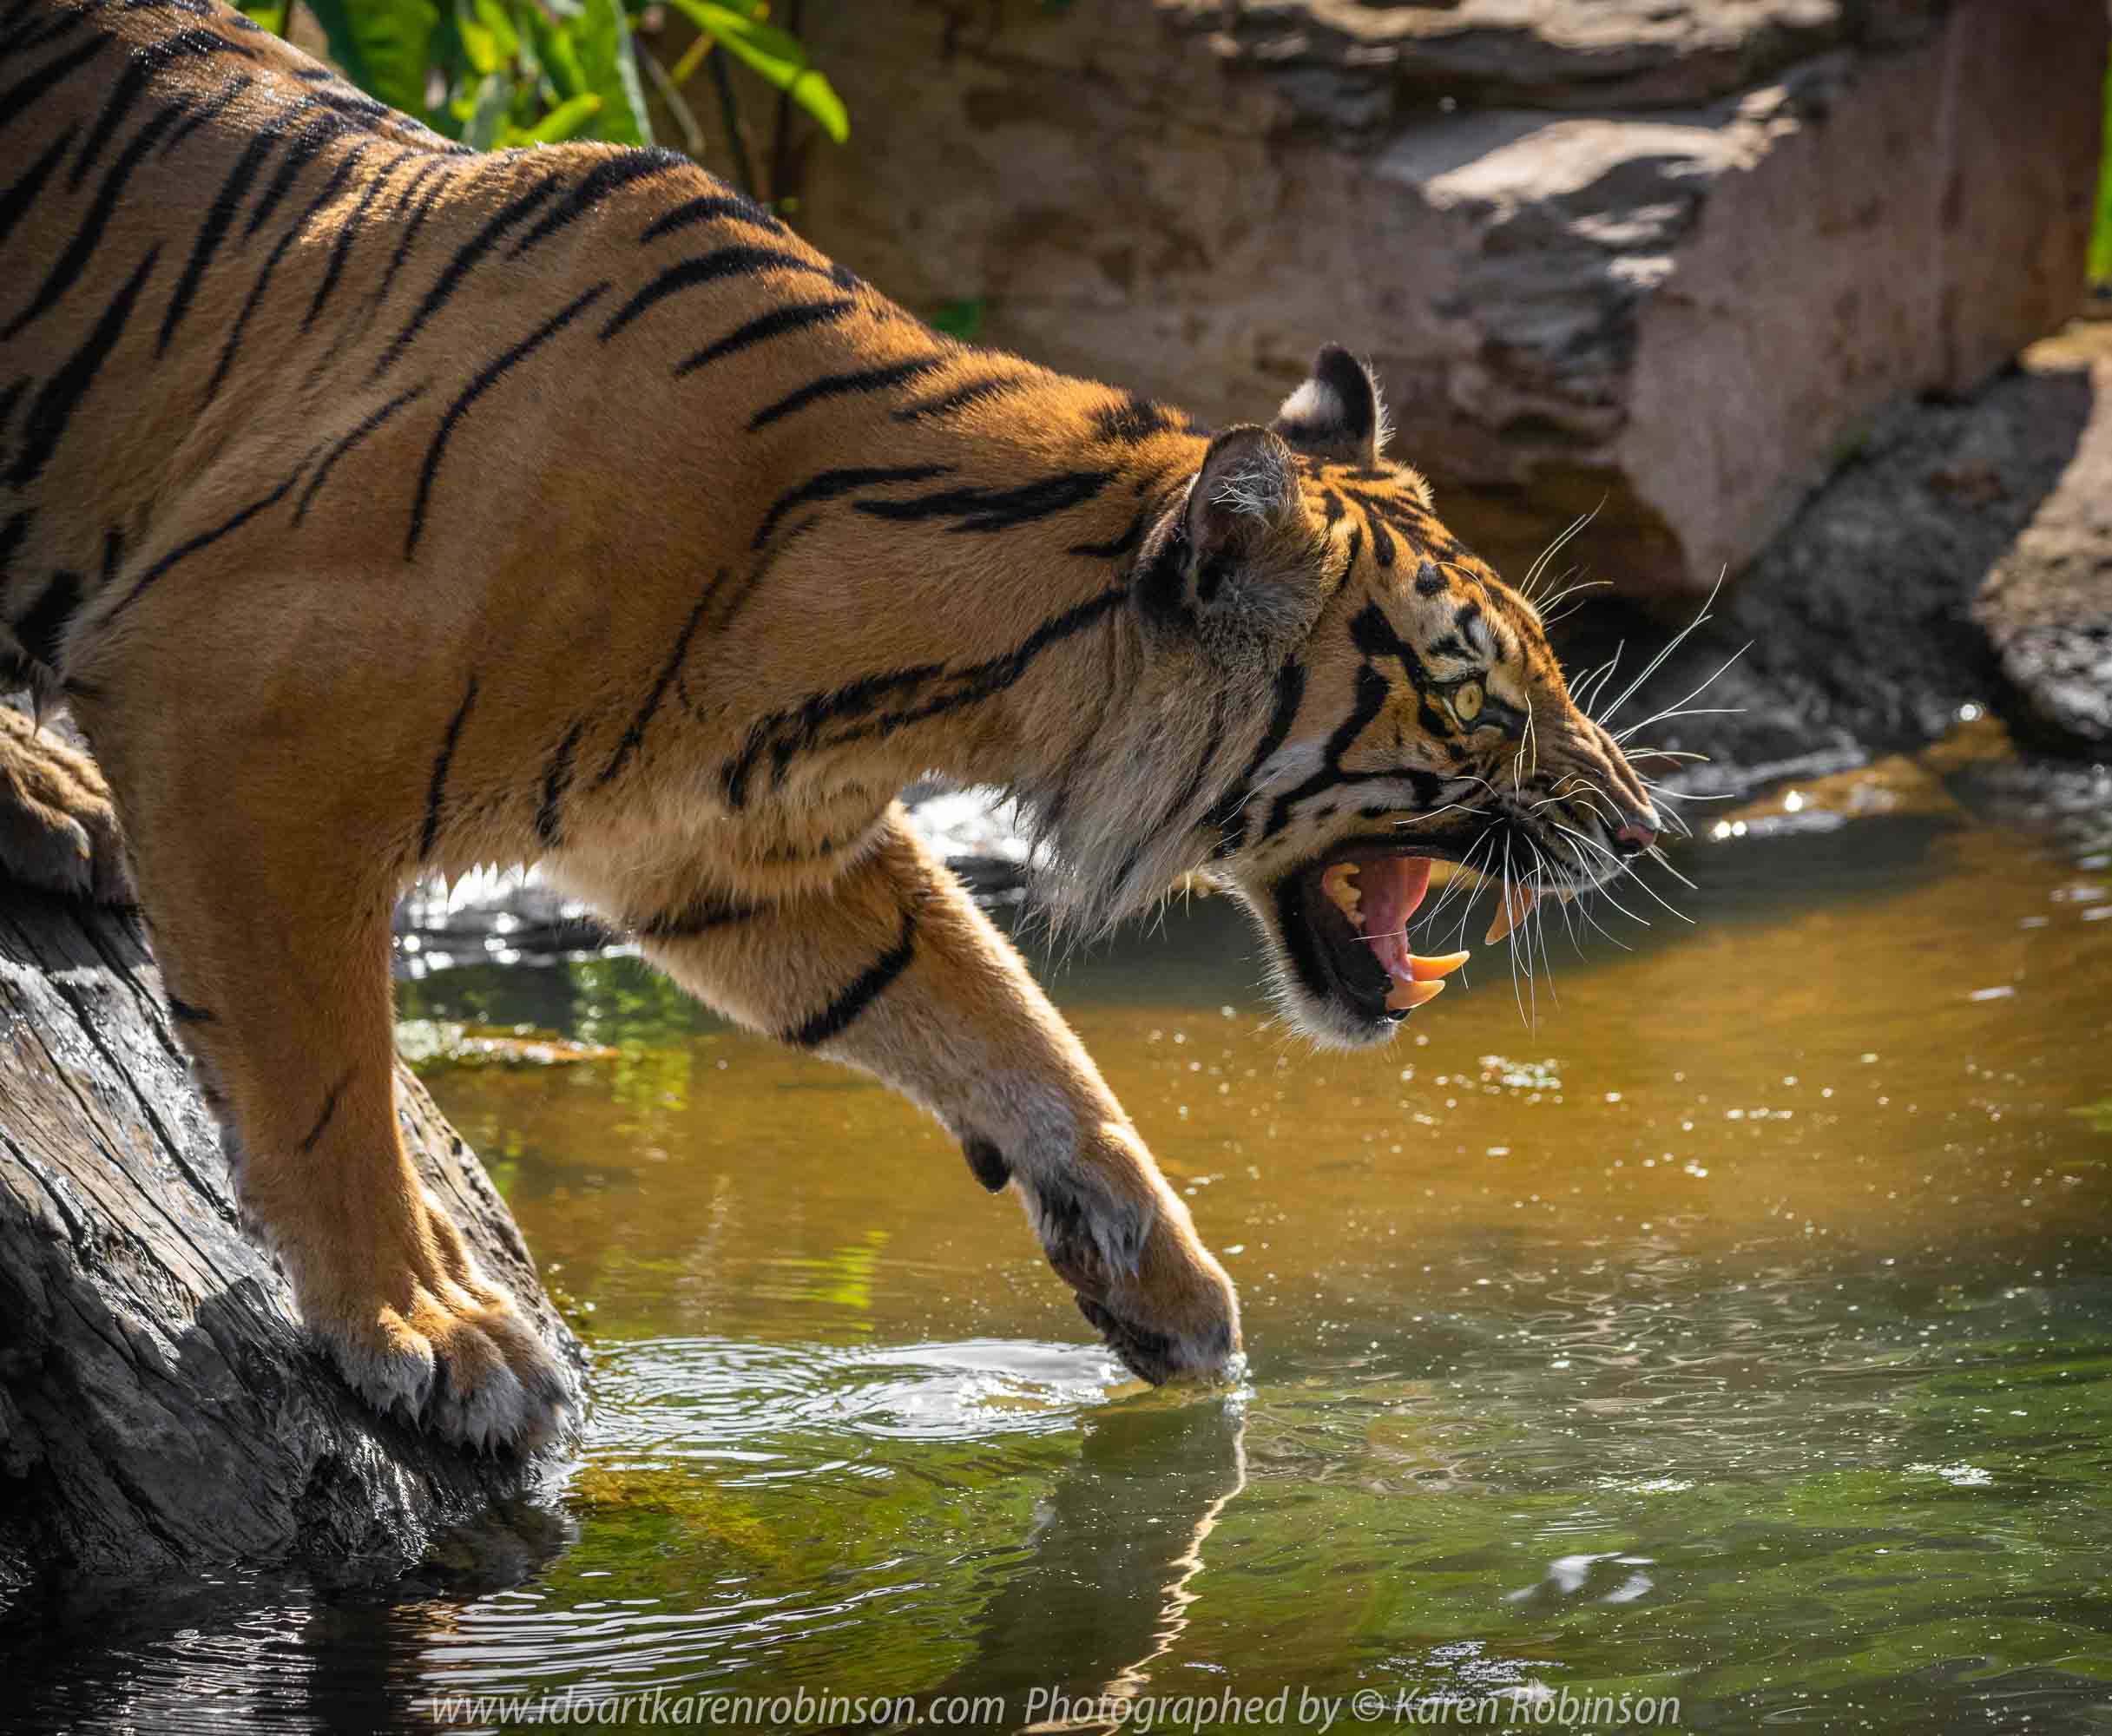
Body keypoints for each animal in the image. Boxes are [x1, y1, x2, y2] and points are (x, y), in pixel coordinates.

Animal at [0, 0, 1663, 1451]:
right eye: (1472, 697)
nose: (1641, 825)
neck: (927, 671)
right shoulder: (236, 718)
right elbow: (325, 1081)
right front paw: (428, 1334)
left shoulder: (721, 844)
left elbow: (1009, 1023)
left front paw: (1163, 1282)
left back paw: (46, 803)